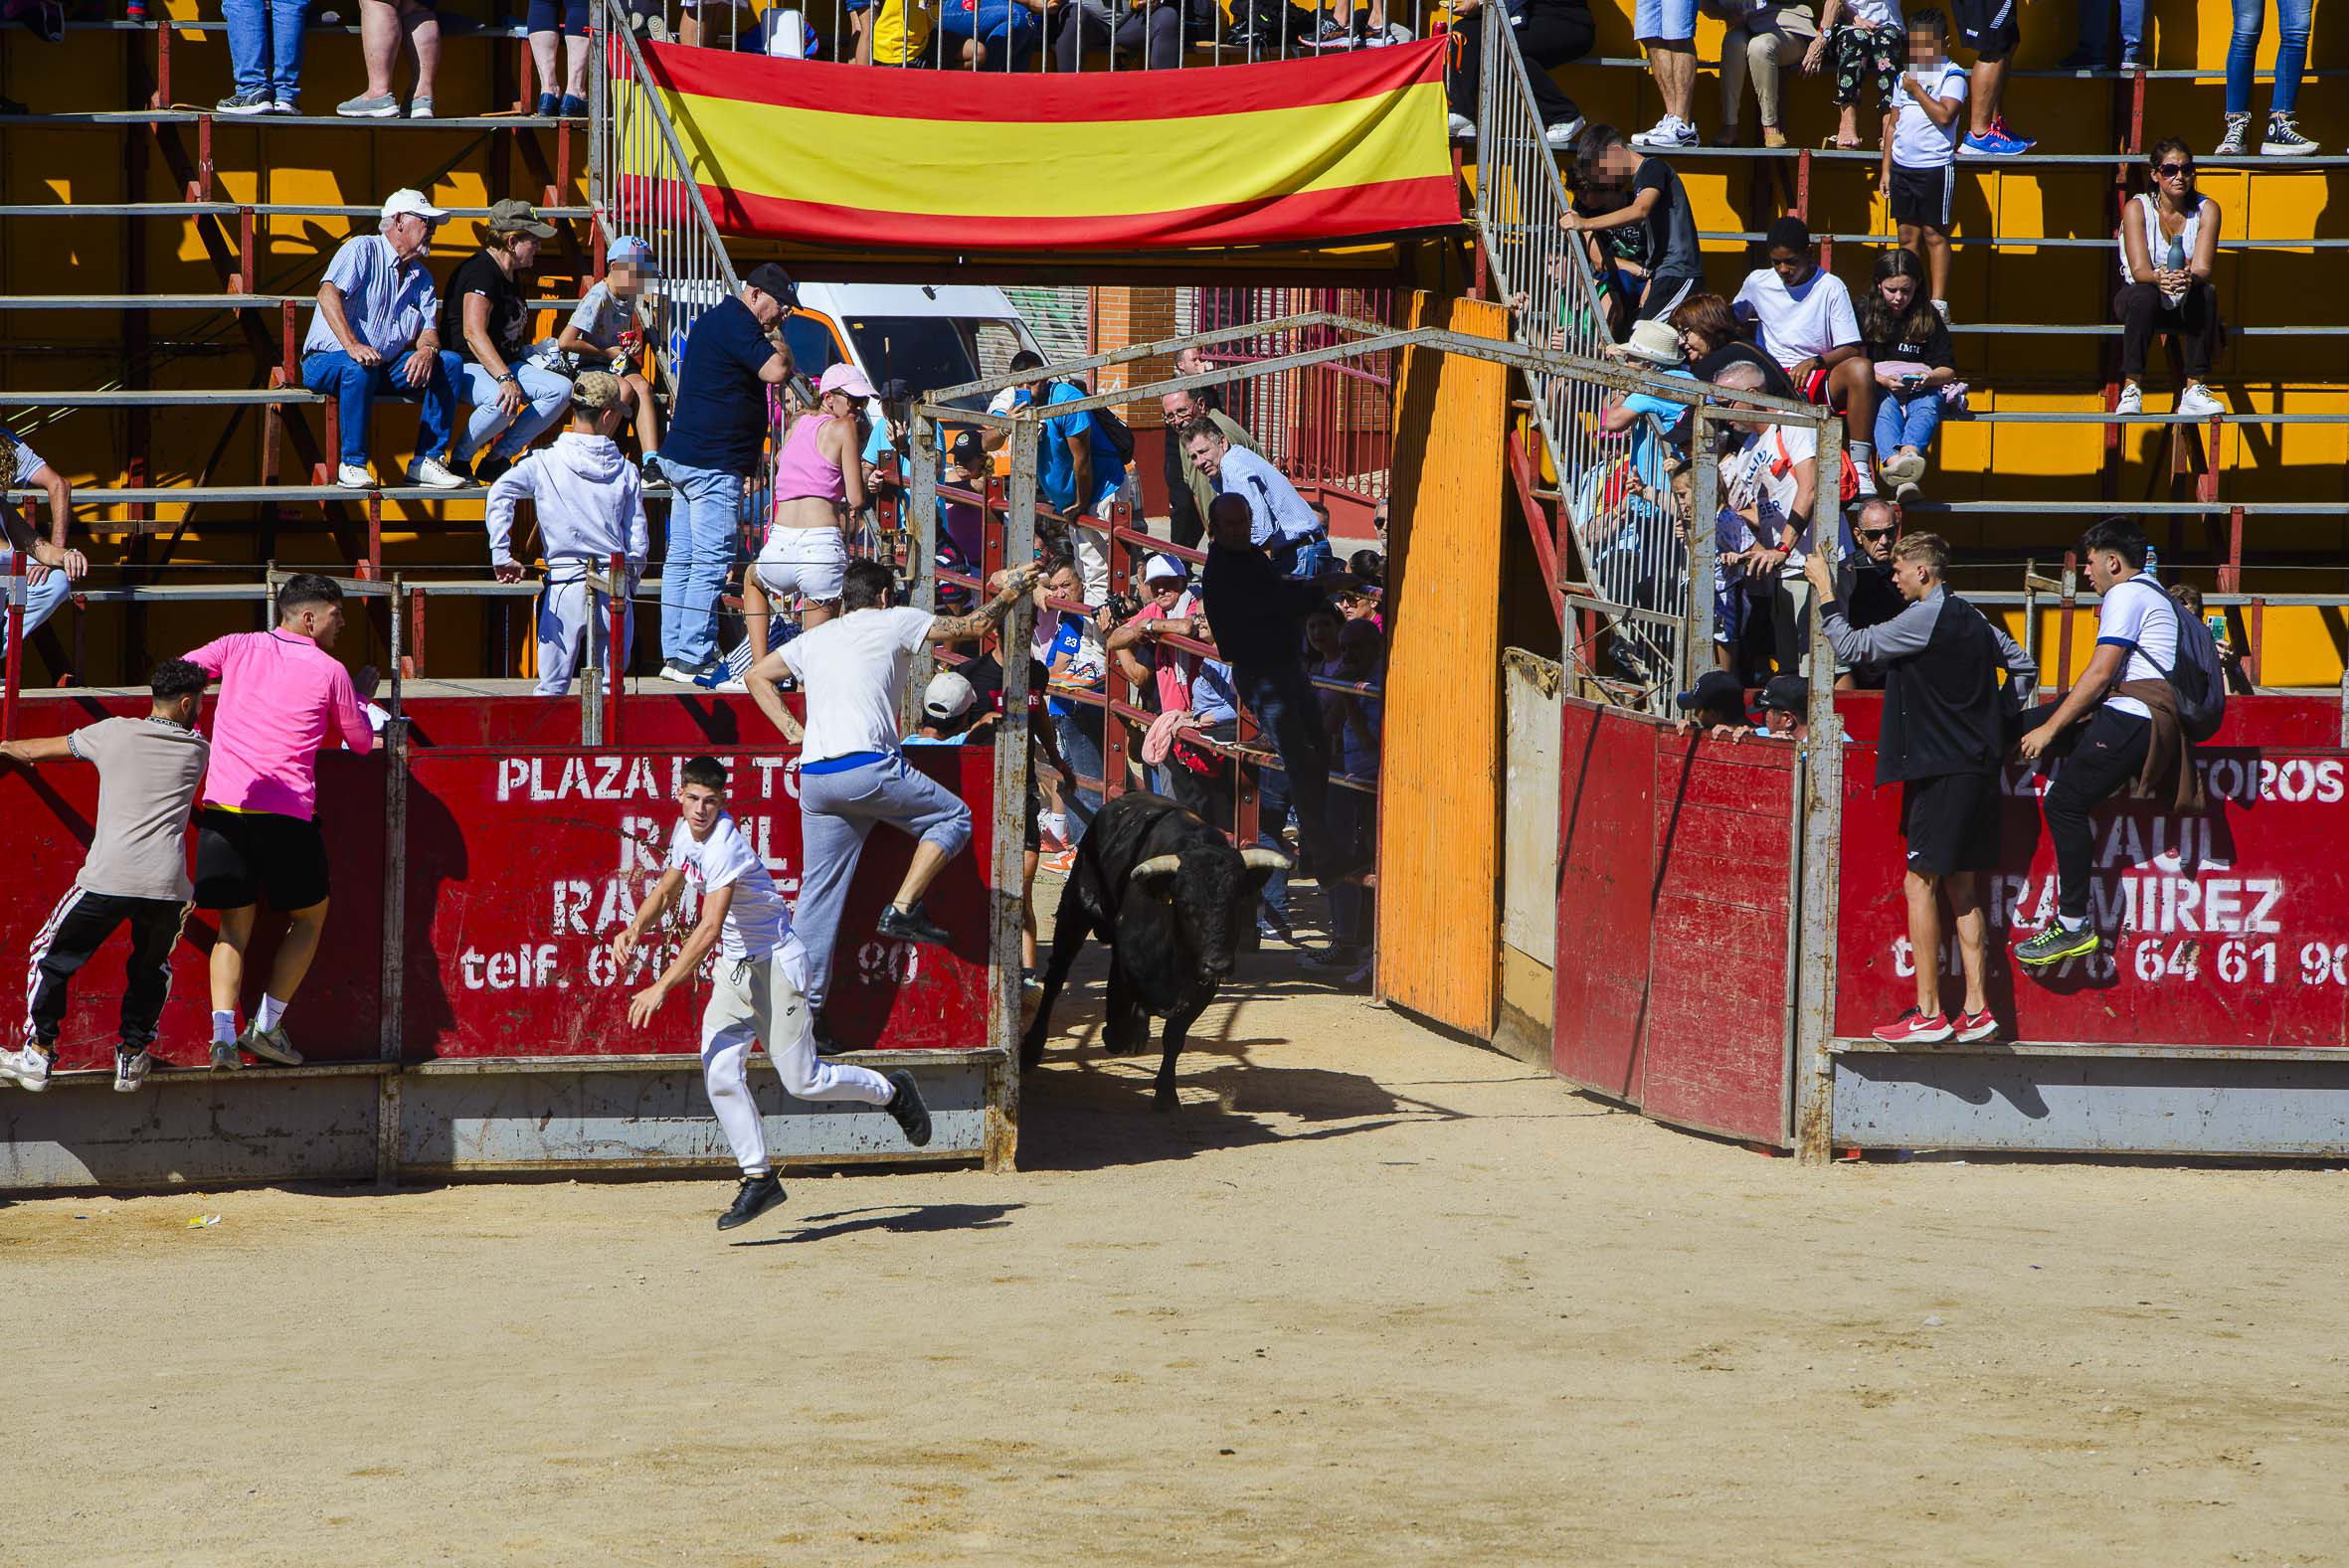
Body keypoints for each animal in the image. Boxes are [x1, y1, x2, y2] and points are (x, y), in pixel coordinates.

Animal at [1023, 797, 1296, 1103]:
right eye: (1186, 904)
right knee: (1056, 979)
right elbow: (1117, 1022)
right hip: (1075, 910)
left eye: (1236, 903)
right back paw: (1032, 1048)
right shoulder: (1125, 966)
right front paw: (1124, 1038)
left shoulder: (1201, 989)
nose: (1218, 965)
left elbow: (1174, 1037)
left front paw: (1166, 1094)